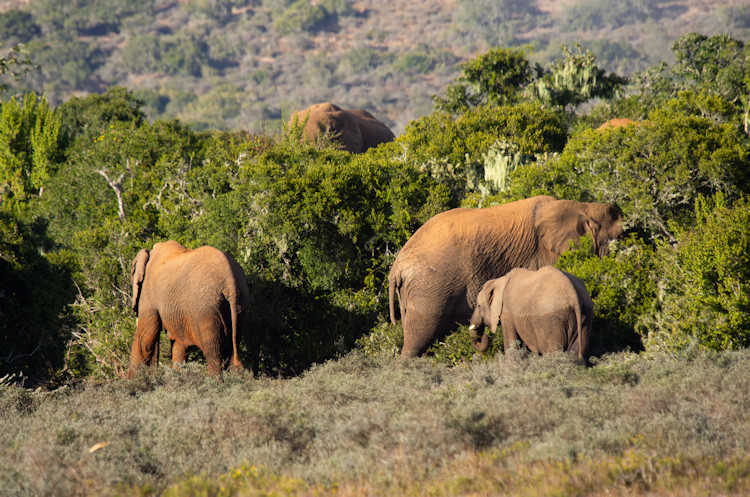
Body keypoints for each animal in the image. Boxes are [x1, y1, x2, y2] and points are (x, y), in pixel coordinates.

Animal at [128, 240, 251, 376]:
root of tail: (230, 281)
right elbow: (179, 346)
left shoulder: (148, 294)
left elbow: (144, 341)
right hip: (241, 303)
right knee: (231, 349)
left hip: (206, 307)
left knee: (213, 351)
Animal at [388, 195, 623, 357]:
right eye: (618, 237)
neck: (581, 206)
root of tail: (396, 268)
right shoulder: (549, 255)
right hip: (429, 290)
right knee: (417, 341)